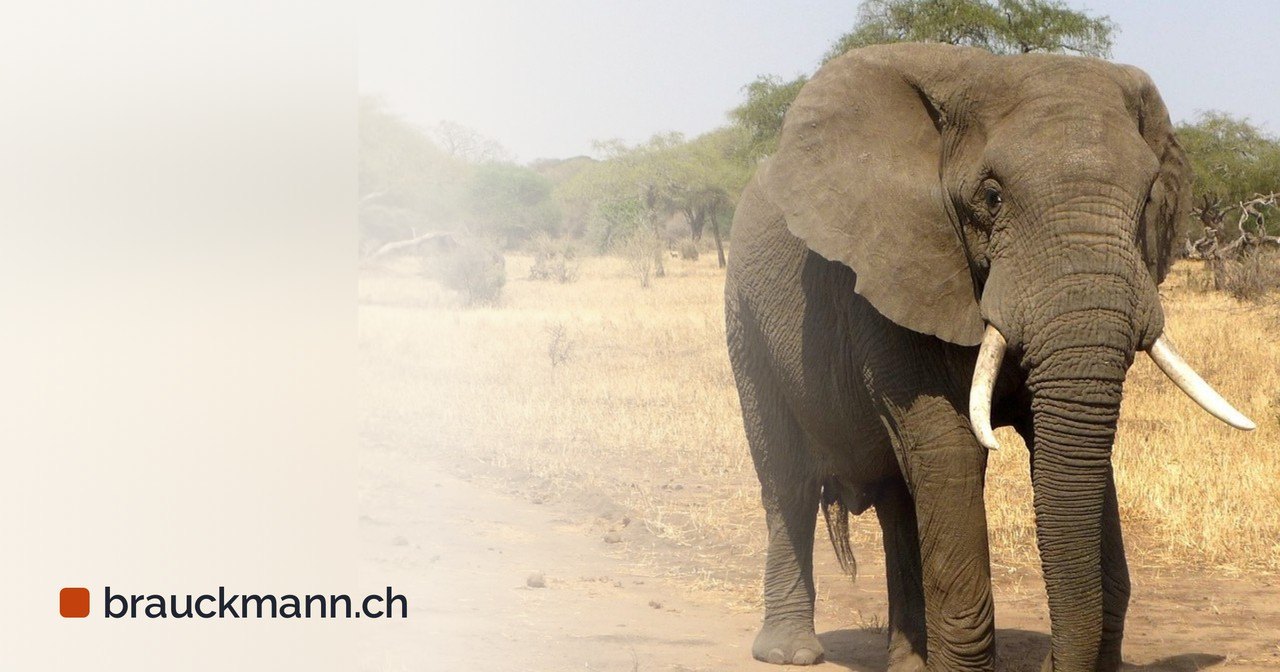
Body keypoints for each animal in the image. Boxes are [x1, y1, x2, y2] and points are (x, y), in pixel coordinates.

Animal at [723, 43, 1254, 672]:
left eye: (1149, 197)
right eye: (992, 197)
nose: (1051, 663)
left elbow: (1063, 442)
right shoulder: (894, 272)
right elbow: (949, 446)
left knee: (899, 498)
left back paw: (907, 663)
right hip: (745, 316)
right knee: (787, 478)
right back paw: (790, 651)